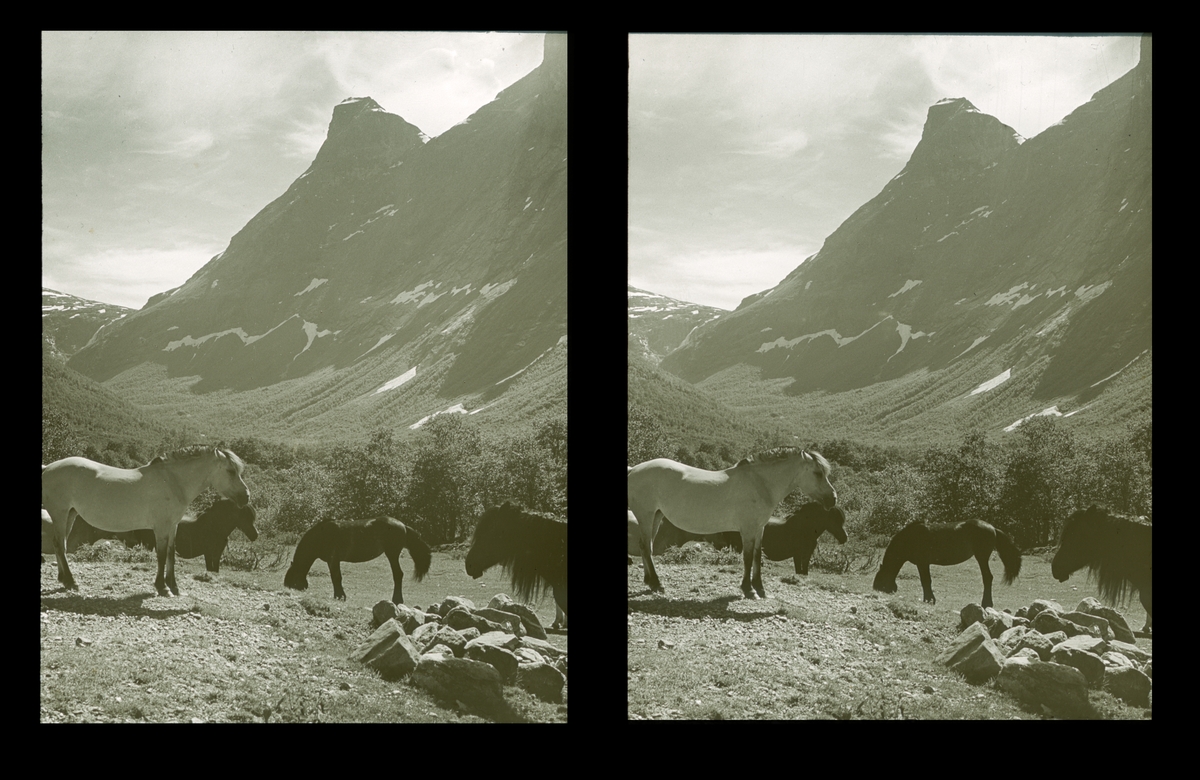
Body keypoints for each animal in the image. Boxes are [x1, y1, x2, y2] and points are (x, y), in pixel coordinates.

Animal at [42, 444, 249, 595]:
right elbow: (161, 554)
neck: (172, 482)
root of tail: (48, 468)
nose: (246, 497)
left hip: (70, 514)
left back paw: (64, 580)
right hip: (60, 513)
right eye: (230, 471)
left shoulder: (172, 526)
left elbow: (171, 554)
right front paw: (162, 587)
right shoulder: (161, 527)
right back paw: (71, 582)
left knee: (60, 544)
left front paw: (173, 586)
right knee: (59, 545)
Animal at [283, 513, 429, 604]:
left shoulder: (333, 560)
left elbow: (336, 578)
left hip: (392, 554)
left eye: (292, 580)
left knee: (398, 574)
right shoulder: (333, 561)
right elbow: (336, 578)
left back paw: (397, 600)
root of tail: (403, 525)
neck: (322, 535)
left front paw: (340, 596)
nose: (288, 589)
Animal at [628, 444, 835, 602]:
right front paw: (748, 590)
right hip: (646, 515)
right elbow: (748, 557)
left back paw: (650, 583)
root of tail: (633, 469)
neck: (759, 484)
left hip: (656, 516)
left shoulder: (759, 529)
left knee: (646, 547)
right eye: (817, 472)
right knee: (645, 547)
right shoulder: (748, 530)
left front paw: (760, 589)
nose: (833, 499)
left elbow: (757, 556)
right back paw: (657, 584)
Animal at [873, 516, 1022, 607]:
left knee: (987, 577)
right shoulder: (923, 564)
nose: (876, 589)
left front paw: (929, 600)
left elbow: (926, 581)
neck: (910, 538)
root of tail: (992, 527)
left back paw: (986, 603)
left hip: (982, 557)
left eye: (880, 579)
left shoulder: (923, 563)